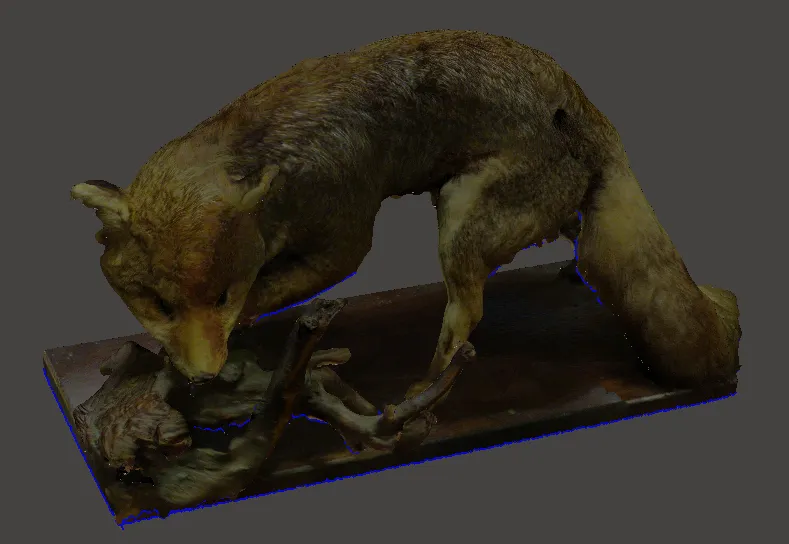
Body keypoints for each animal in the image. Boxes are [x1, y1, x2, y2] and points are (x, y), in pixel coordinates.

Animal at [71, 29, 740, 398]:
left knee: (467, 312)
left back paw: (427, 389)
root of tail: (592, 113)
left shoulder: (344, 239)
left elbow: (276, 288)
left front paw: (246, 329)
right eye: (158, 304)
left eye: (221, 296)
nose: (202, 379)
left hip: (459, 218)